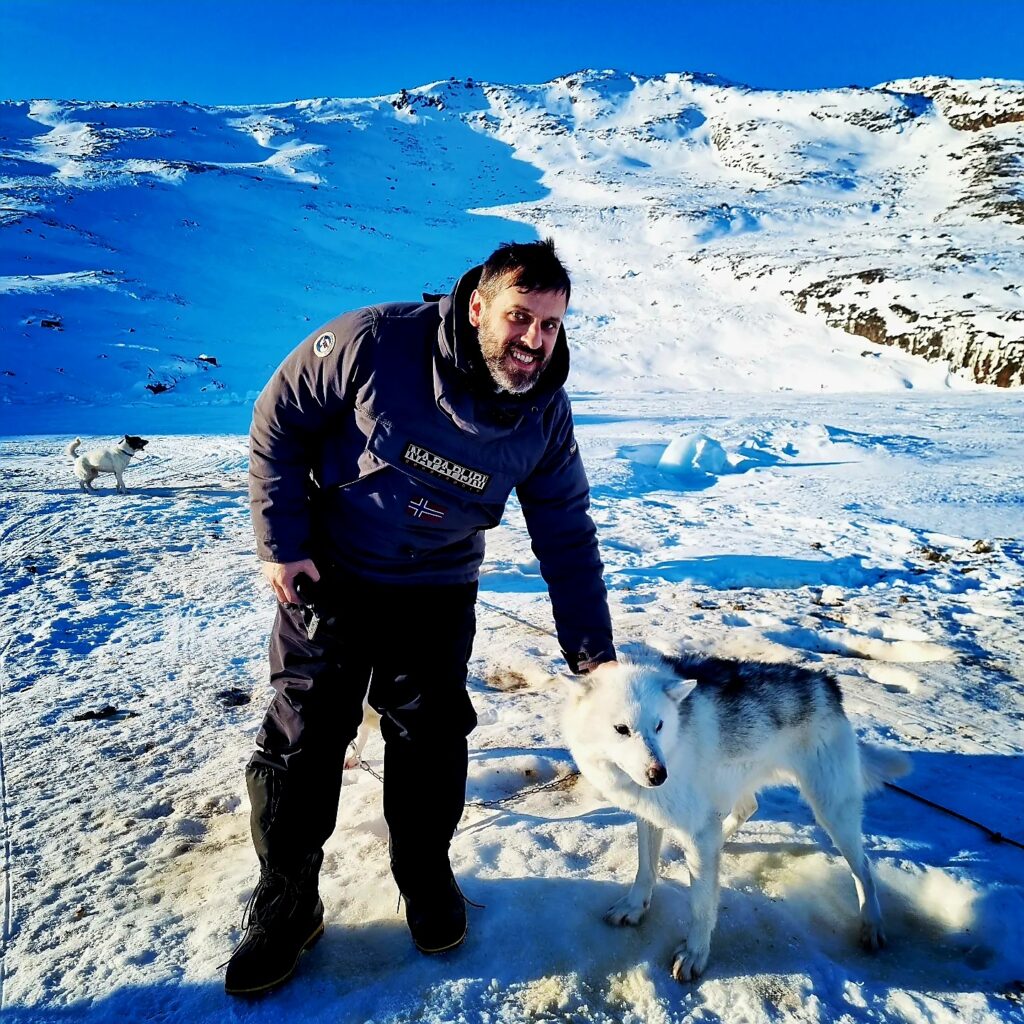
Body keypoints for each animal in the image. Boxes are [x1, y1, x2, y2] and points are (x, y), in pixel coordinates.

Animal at [561, 655, 913, 983]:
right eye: (622, 729)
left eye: (659, 726)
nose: (659, 775)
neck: (674, 746)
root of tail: (827, 682)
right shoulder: (650, 817)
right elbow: (645, 870)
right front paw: (634, 907)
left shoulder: (695, 831)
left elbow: (701, 905)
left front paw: (695, 953)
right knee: (747, 808)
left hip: (832, 809)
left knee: (864, 869)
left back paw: (872, 923)